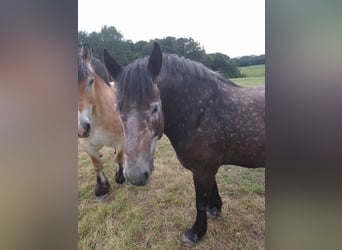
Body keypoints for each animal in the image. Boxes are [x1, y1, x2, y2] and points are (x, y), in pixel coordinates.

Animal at [78, 43, 125, 201]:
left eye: (91, 81)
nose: (81, 128)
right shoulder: (87, 145)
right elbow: (97, 164)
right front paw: (102, 187)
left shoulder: (121, 140)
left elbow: (119, 157)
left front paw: (120, 177)